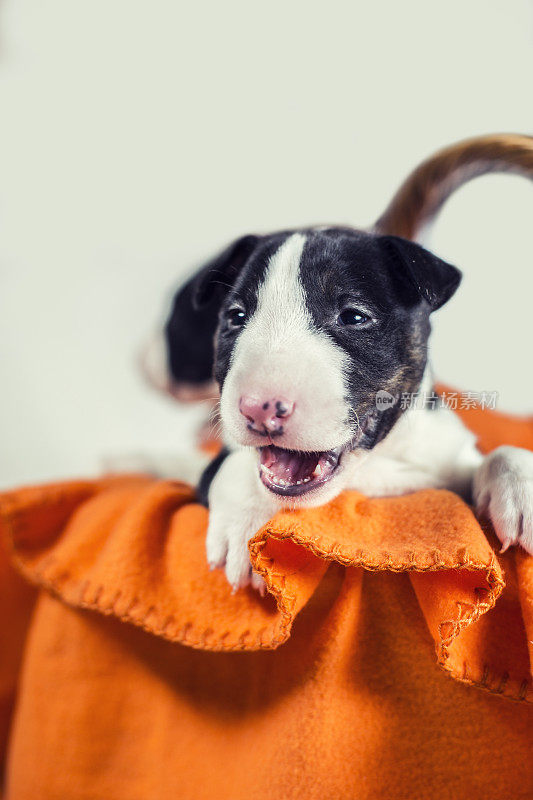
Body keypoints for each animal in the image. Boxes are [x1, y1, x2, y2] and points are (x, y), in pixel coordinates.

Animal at [154, 134, 533, 592]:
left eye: (353, 317)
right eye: (235, 317)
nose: (258, 409)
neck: (371, 470)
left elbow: (499, 453)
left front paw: (522, 488)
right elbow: (236, 461)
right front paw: (244, 523)